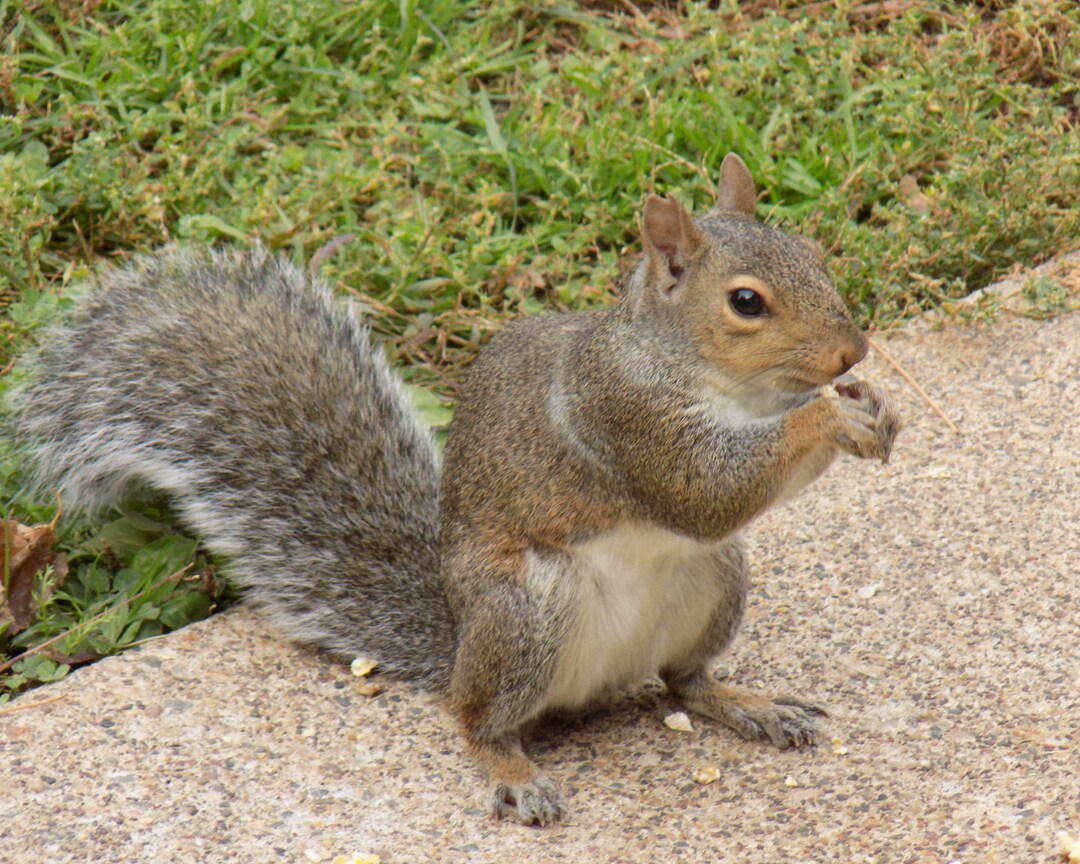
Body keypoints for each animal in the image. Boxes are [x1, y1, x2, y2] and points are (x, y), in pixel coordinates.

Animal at [10, 154, 899, 826]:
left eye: (814, 254)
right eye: (746, 302)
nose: (853, 350)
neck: (715, 379)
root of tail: (461, 639)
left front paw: (875, 410)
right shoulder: (624, 420)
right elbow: (705, 492)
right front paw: (832, 416)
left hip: (713, 579)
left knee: (683, 681)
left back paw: (747, 704)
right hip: (525, 613)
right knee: (473, 719)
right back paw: (511, 770)